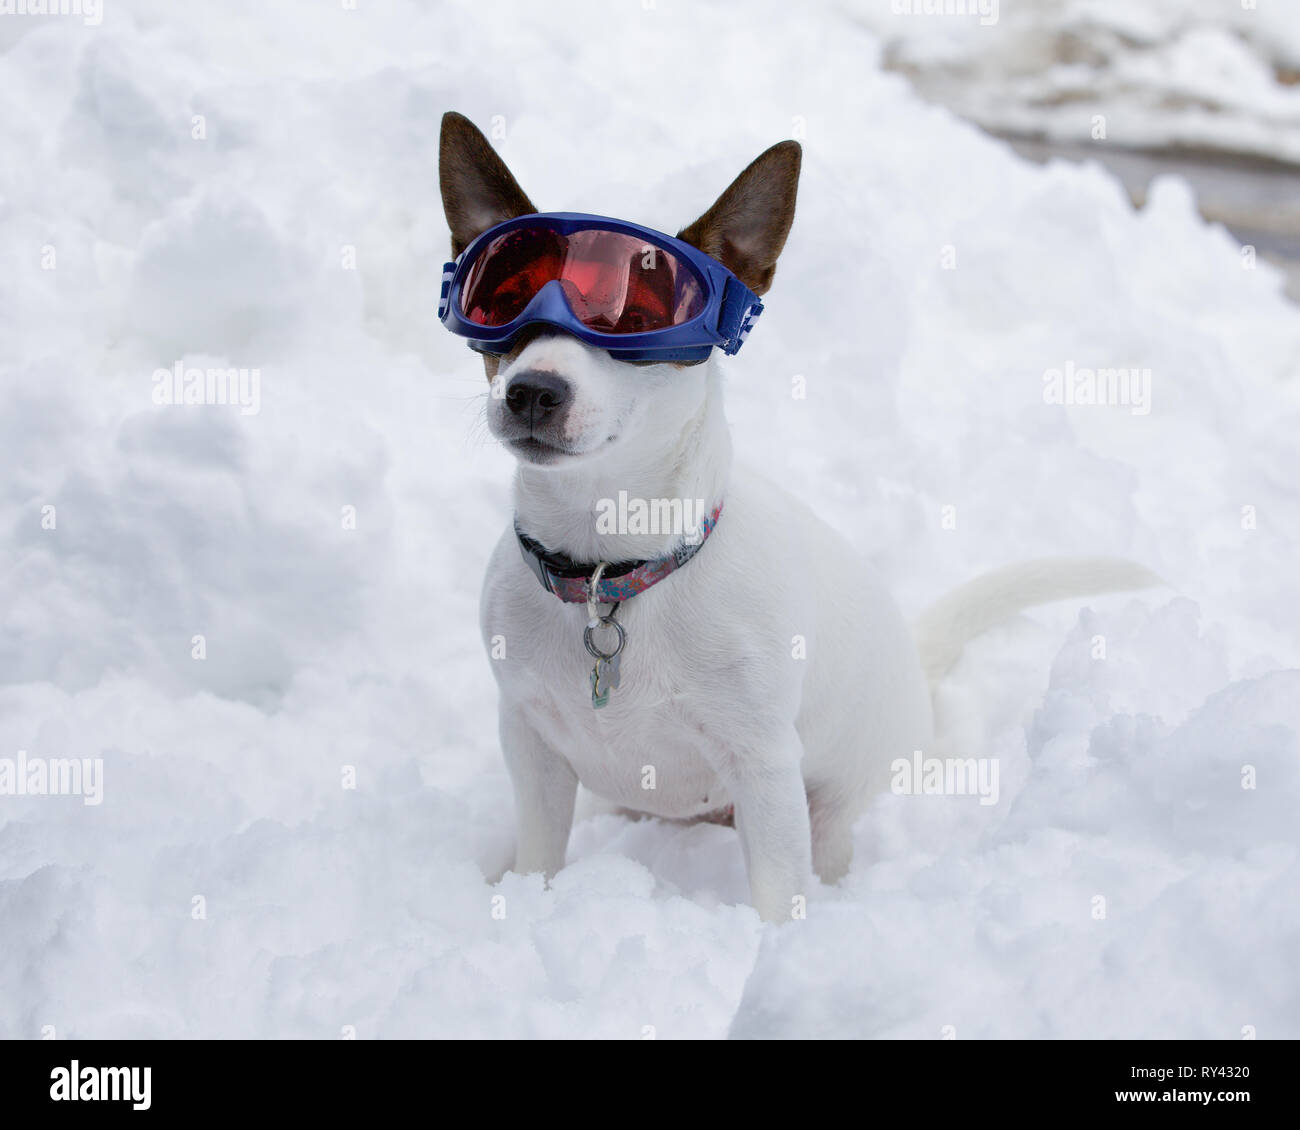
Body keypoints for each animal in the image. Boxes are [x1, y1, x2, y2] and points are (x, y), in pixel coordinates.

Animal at [439, 114, 1159, 920]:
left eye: (639, 318)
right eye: (504, 302)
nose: (532, 391)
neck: (608, 568)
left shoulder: (764, 765)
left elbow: (777, 895)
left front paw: (771, 943)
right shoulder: (531, 743)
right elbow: (538, 856)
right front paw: (526, 897)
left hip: (834, 805)